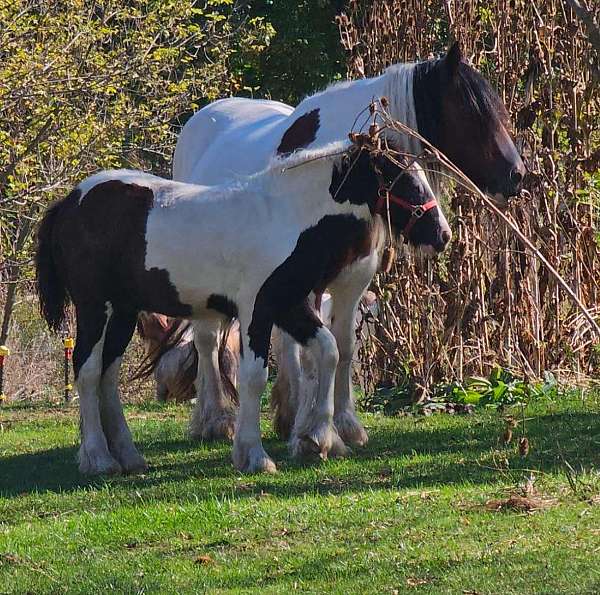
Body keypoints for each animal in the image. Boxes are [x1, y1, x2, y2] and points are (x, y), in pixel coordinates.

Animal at [36, 140, 450, 474]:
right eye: (403, 178)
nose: (442, 234)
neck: (284, 217)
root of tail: (69, 202)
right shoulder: (257, 309)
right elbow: (254, 377)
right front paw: (253, 454)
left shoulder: (289, 306)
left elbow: (328, 352)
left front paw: (318, 439)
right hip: (94, 308)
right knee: (87, 370)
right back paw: (97, 458)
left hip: (123, 312)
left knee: (108, 374)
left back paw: (128, 456)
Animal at [170, 42, 524, 448]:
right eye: (472, 112)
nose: (517, 175)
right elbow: (317, 351)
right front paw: (313, 429)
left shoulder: (353, 280)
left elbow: (343, 348)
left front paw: (341, 423)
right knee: (208, 340)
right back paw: (215, 418)